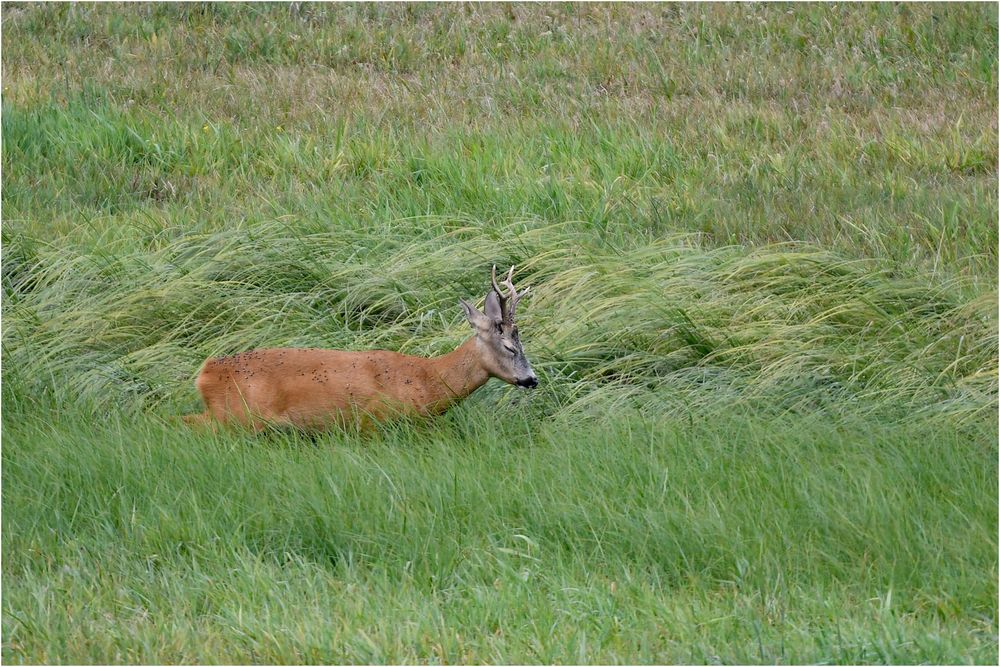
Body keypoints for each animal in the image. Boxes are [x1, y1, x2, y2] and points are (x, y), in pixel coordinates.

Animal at [183, 268, 536, 430]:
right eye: (509, 346)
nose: (532, 379)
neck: (427, 381)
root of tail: (206, 372)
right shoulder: (374, 422)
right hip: (237, 416)